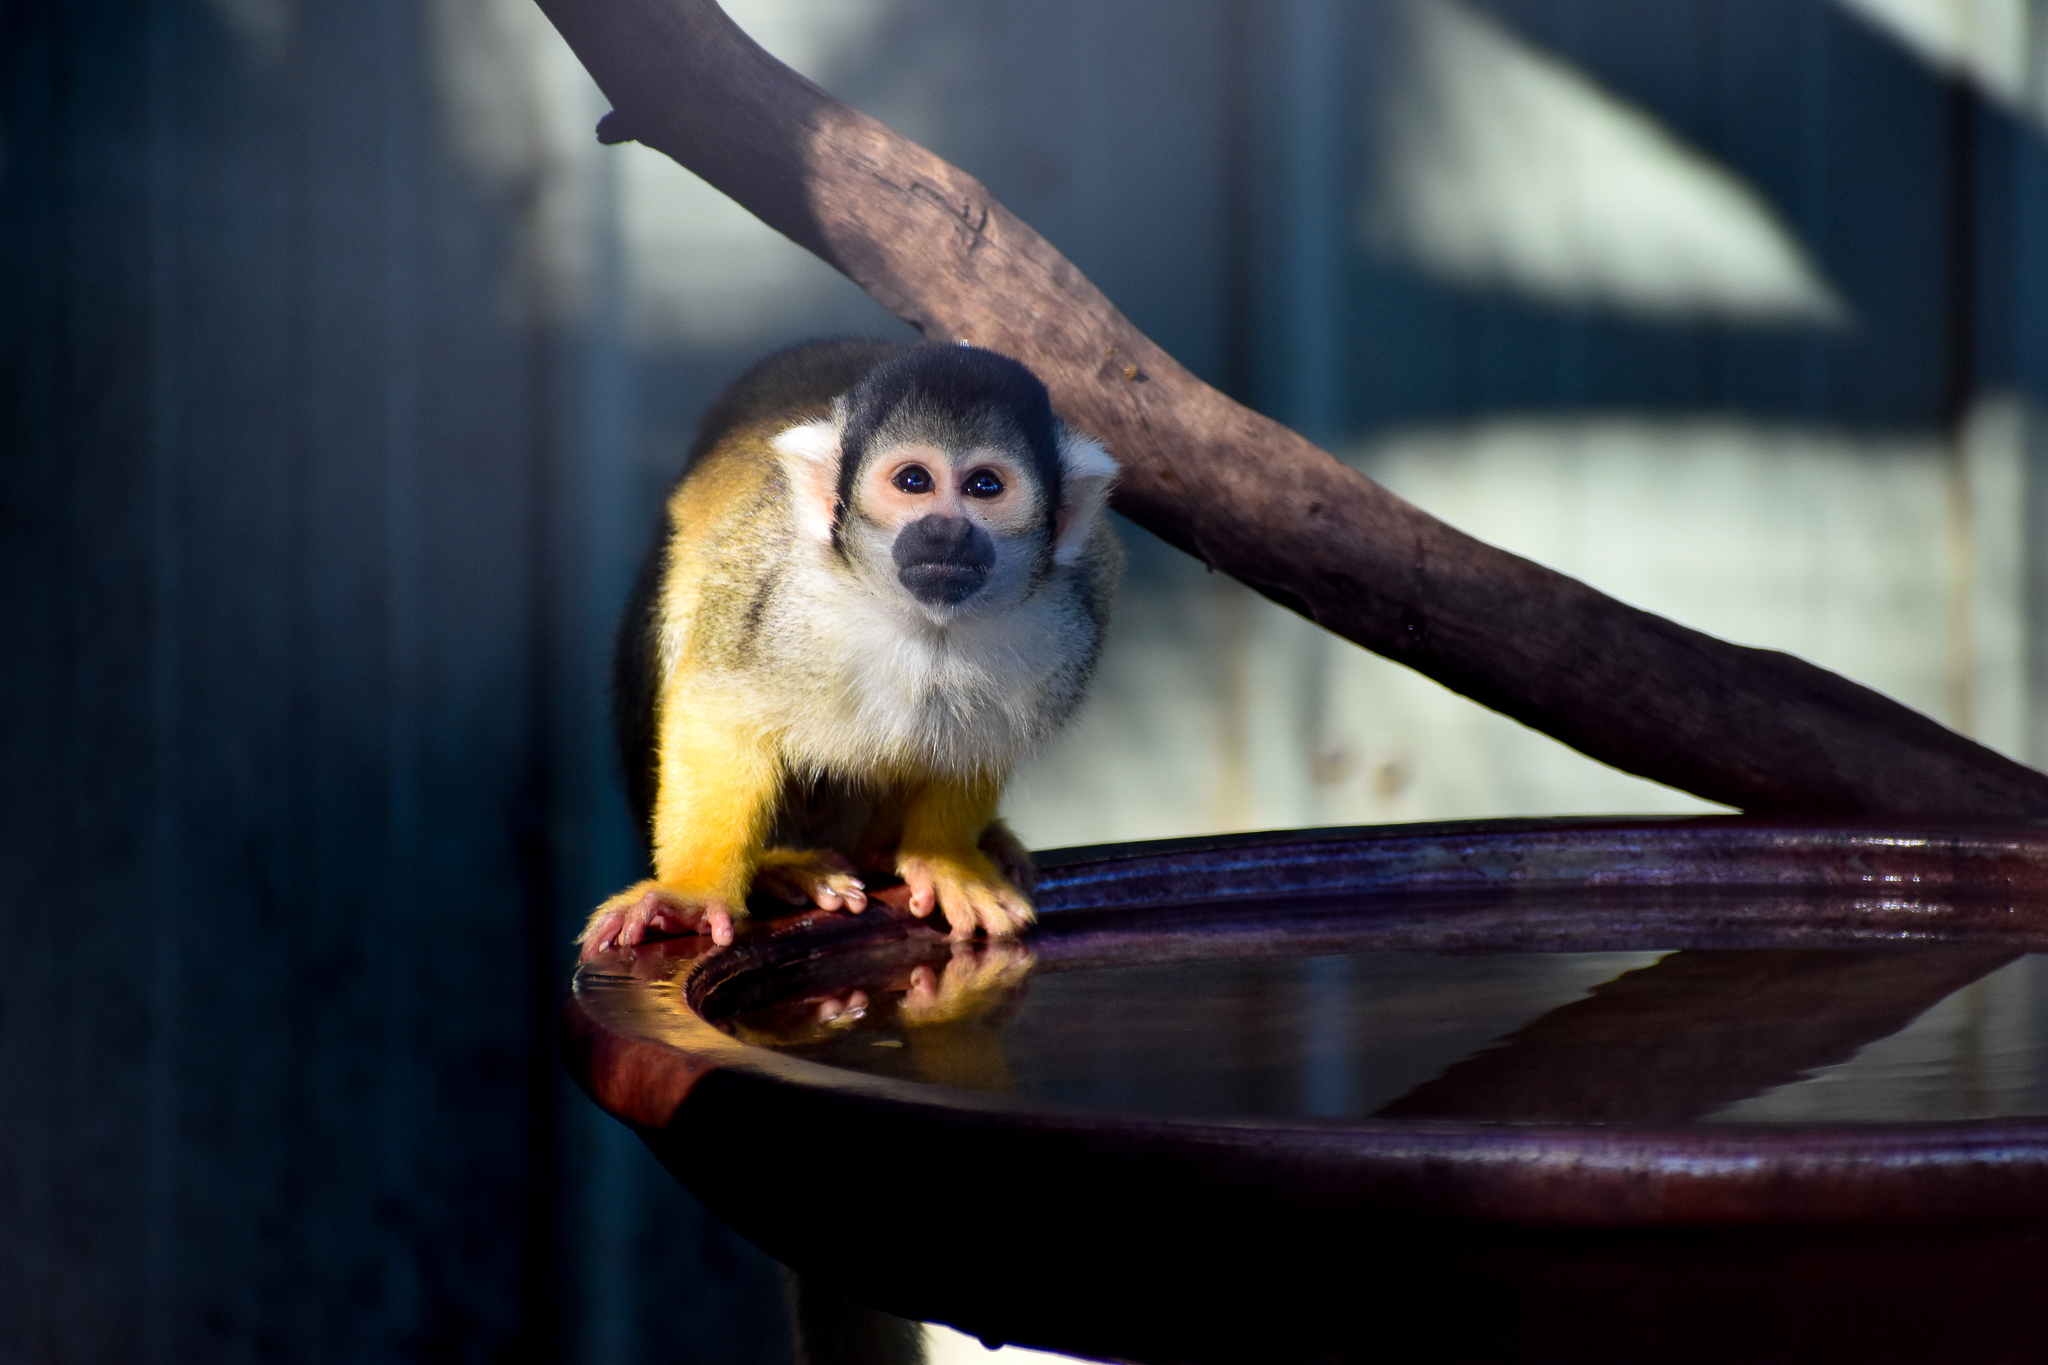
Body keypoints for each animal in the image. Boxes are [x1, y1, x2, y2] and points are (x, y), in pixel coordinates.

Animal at [579, 339, 1122, 961]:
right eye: (913, 481)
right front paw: (691, 892)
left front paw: (945, 858)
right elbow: (716, 712)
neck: (924, 621)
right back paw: (782, 866)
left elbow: (985, 738)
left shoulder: (1076, 607)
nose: (945, 531)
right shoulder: (769, 585)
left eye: (985, 486)